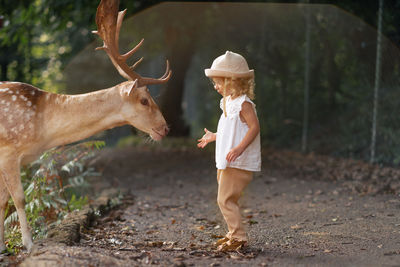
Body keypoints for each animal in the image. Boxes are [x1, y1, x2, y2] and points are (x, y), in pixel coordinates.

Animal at [0, 0, 170, 253]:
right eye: (144, 100)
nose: (165, 128)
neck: (42, 130)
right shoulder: (10, 150)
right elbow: (19, 198)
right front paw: (29, 245)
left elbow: (3, 200)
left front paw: (3, 247)